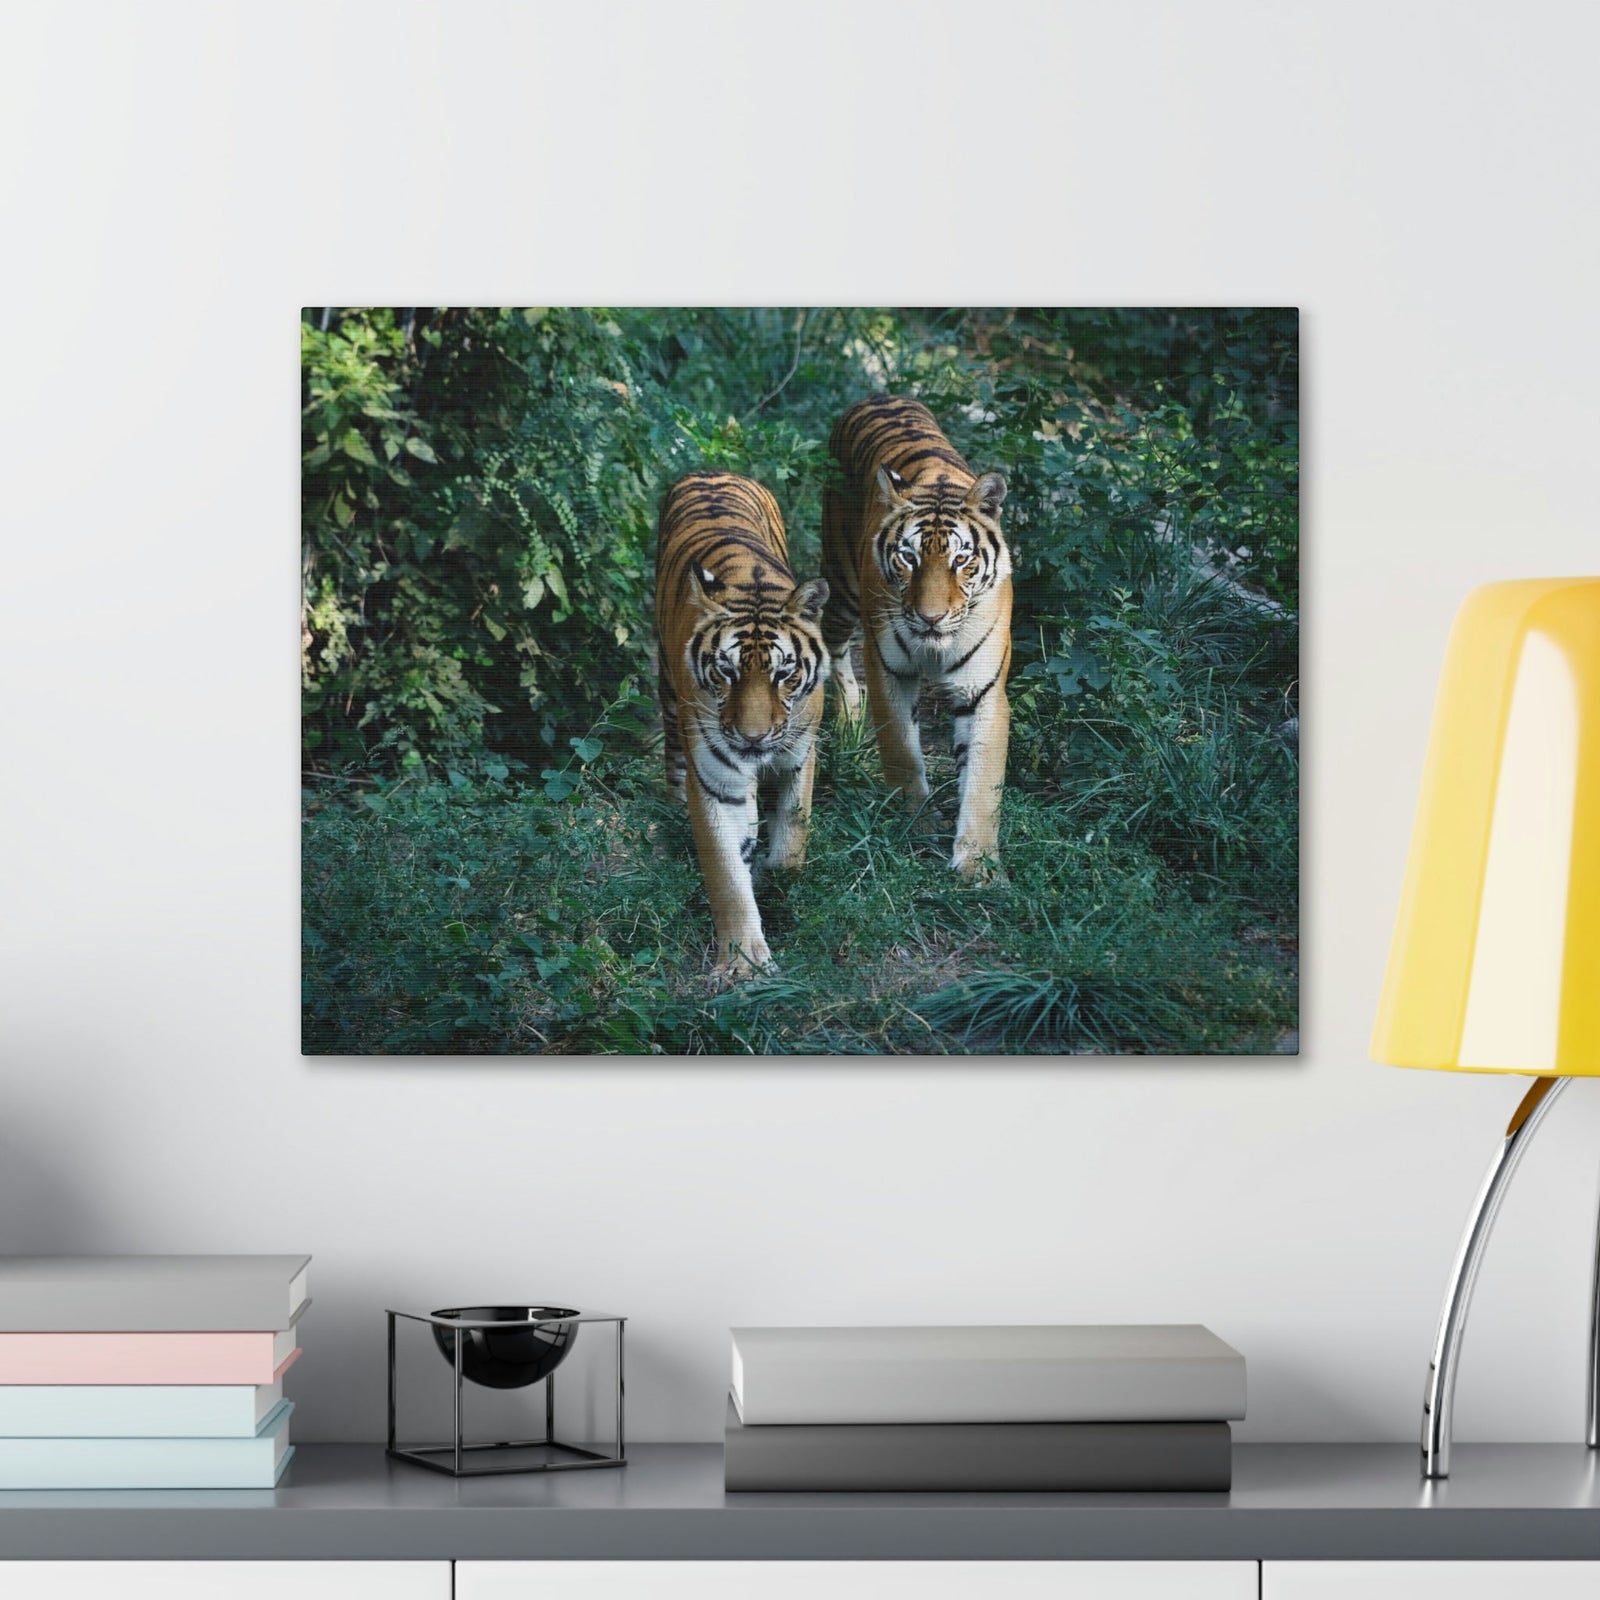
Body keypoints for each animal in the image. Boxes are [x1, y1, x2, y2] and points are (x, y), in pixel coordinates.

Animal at [655, 471, 830, 981]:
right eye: (726, 672)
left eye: (784, 673)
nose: (752, 738)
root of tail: (713, 471)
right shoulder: (715, 781)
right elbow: (726, 875)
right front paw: (742, 963)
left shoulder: (800, 755)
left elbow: (793, 839)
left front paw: (777, 884)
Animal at [820, 395, 1011, 880]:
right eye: (908, 557)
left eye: (961, 559)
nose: (930, 617)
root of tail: (878, 396)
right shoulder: (889, 670)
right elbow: (902, 751)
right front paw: (917, 821)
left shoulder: (984, 690)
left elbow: (982, 781)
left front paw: (977, 863)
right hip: (842, 586)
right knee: (834, 650)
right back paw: (848, 722)